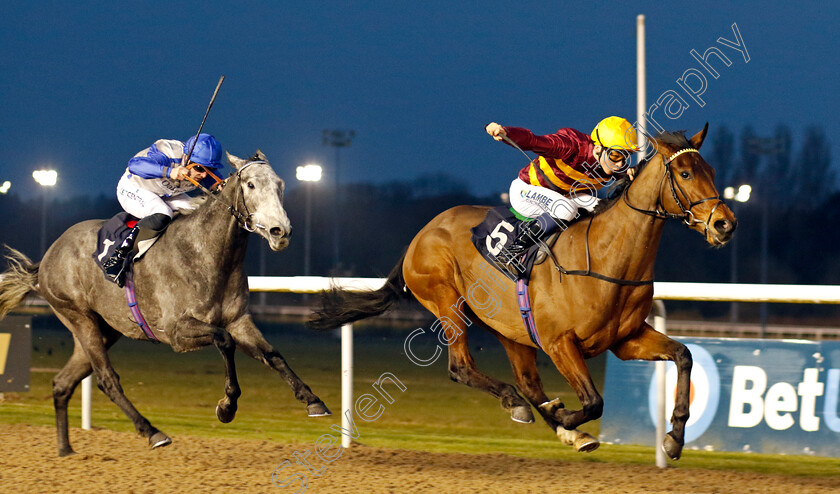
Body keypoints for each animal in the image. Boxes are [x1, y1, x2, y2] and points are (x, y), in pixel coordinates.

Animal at [0, 151, 332, 456]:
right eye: (250, 184)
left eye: (280, 185)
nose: (281, 232)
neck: (206, 253)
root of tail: (47, 257)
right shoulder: (177, 332)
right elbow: (224, 341)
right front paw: (227, 406)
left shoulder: (239, 320)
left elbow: (272, 355)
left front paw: (313, 400)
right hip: (78, 317)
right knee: (107, 379)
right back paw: (152, 432)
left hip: (105, 329)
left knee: (62, 383)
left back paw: (65, 449)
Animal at [308, 125, 736, 462]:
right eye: (684, 172)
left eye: (712, 171)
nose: (725, 224)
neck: (606, 258)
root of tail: (422, 233)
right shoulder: (560, 342)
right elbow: (593, 401)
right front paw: (565, 417)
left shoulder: (626, 339)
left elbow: (683, 355)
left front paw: (674, 438)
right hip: (447, 302)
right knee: (462, 367)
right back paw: (521, 406)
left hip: (508, 328)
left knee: (529, 383)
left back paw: (562, 427)